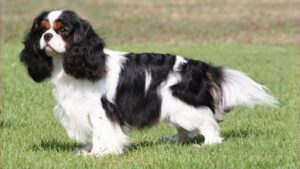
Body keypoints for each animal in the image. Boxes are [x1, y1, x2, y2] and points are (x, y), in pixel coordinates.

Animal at [19, 9, 276, 156]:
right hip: (174, 108)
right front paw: (89, 150)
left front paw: (100, 154)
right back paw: (174, 140)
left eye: (62, 30)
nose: (47, 37)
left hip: (186, 107)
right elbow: (94, 135)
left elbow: (102, 133)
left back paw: (205, 145)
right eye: (42, 30)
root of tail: (199, 66)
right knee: (184, 130)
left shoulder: (101, 110)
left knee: (210, 127)